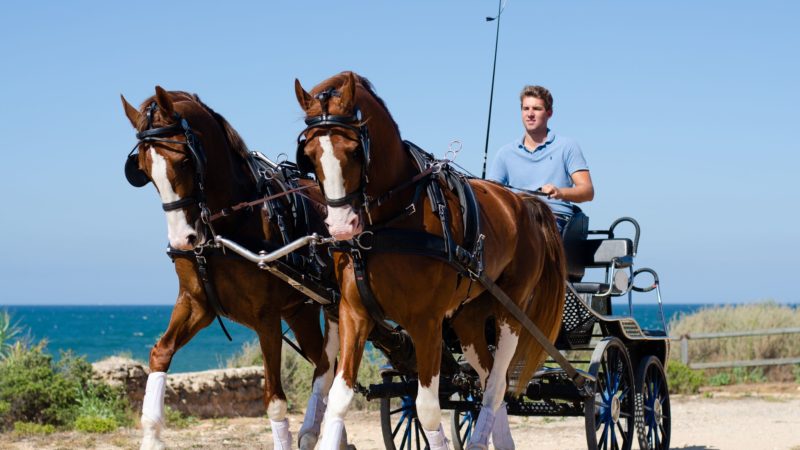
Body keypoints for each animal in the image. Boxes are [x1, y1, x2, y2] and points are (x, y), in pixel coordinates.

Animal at [121, 88, 340, 450]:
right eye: (143, 169)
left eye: (185, 160)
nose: (183, 239)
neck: (228, 223)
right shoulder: (196, 304)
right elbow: (160, 353)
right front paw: (152, 436)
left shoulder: (266, 318)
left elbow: (274, 400)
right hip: (303, 310)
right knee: (325, 363)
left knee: (328, 365)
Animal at [296, 72, 568, 448]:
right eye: (309, 154)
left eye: (353, 150)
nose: (340, 226)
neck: (387, 224)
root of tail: (524, 202)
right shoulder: (352, 312)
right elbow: (338, 397)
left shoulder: (426, 323)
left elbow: (426, 408)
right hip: (468, 320)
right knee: (486, 379)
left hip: (510, 313)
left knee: (496, 386)